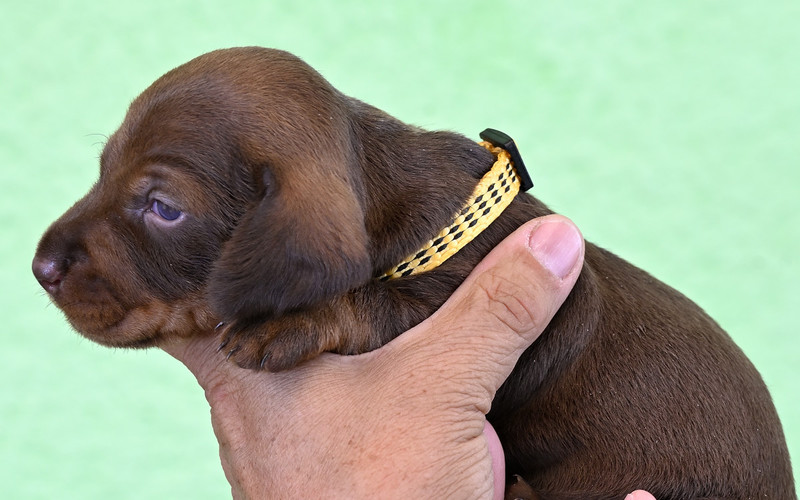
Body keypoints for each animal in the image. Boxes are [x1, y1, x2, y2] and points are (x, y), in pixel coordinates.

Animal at [32, 47, 795, 499]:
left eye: (162, 207)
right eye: (103, 169)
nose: (39, 267)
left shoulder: (452, 294)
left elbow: (375, 302)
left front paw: (290, 323)